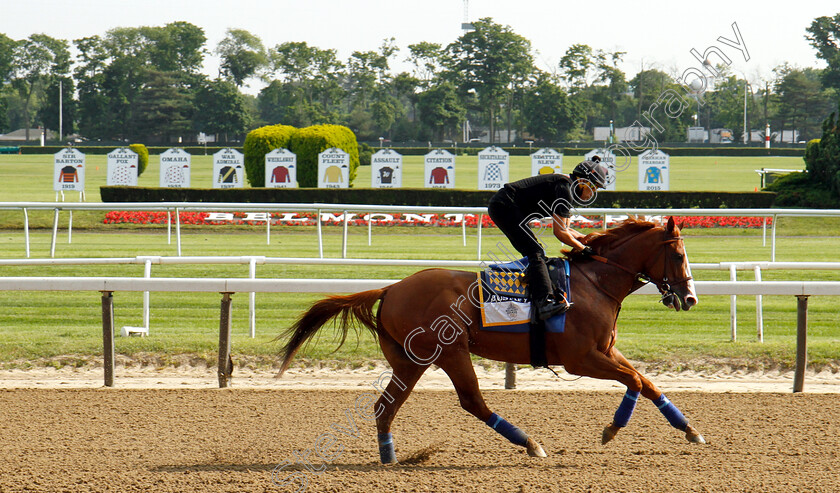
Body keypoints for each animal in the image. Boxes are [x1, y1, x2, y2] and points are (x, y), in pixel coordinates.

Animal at [278, 215, 704, 462]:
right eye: (678, 256)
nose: (689, 298)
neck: (594, 282)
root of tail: (392, 287)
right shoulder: (580, 358)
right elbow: (634, 381)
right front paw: (612, 429)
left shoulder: (606, 350)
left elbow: (647, 383)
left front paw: (690, 430)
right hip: (449, 351)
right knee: (472, 401)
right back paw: (530, 443)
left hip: (409, 360)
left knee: (386, 406)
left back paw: (389, 458)